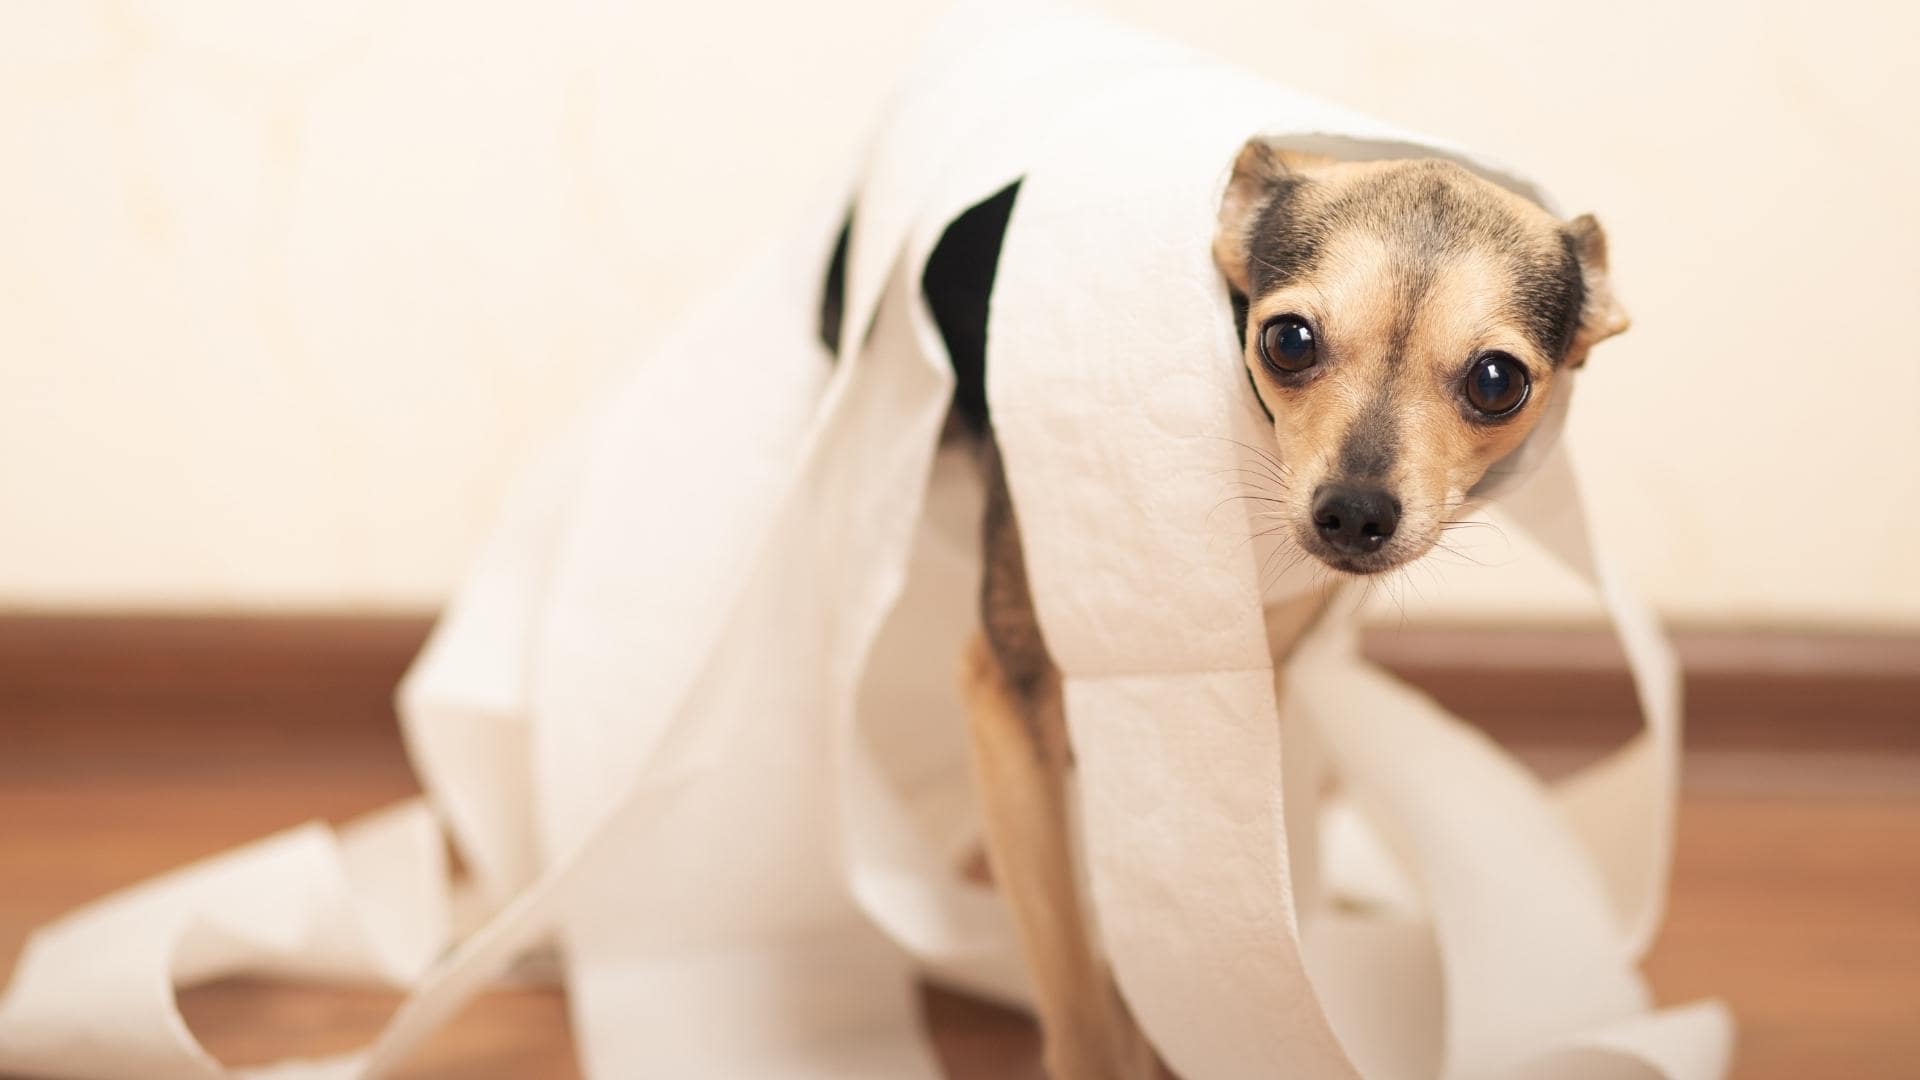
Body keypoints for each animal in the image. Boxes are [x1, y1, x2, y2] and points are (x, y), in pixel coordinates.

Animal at [910, 141, 1620, 1076]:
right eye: (1288, 340)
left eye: (1498, 381)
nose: (1353, 512)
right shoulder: (1008, 688)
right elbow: (1074, 980)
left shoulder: (1246, 689)